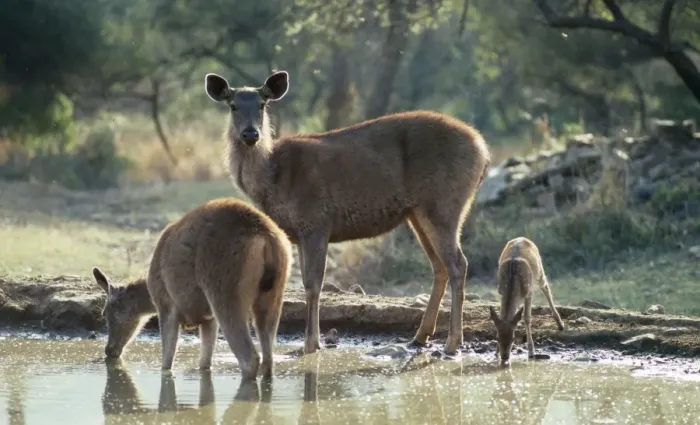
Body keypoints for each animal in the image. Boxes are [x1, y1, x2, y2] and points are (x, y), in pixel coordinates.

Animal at [91, 198, 292, 380]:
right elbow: (204, 363)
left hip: (225, 289)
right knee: (268, 358)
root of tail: (266, 238)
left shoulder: (167, 306)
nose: (109, 350)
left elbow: (167, 363)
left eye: (105, 313)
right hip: (274, 294)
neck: (150, 294)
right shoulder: (208, 318)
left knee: (250, 358)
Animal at [203, 70, 492, 356]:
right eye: (233, 105)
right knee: (439, 266)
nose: (250, 134)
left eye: (262, 104)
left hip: (444, 203)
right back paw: (420, 336)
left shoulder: (316, 220)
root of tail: (484, 151)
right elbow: (304, 283)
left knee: (458, 264)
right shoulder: (299, 232)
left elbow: (312, 284)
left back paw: (453, 342)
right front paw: (312, 341)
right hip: (418, 212)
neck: (272, 179)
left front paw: (311, 344)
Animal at [488, 237, 567, 365]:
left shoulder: (528, 292)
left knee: (546, 288)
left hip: (539, 271)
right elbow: (500, 316)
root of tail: (522, 238)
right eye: (497, 338)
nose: (505, 358)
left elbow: (527, 318)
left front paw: (531, 352)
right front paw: (495, 353)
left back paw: (560, 324)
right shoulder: (500, 292)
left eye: (513, 338)